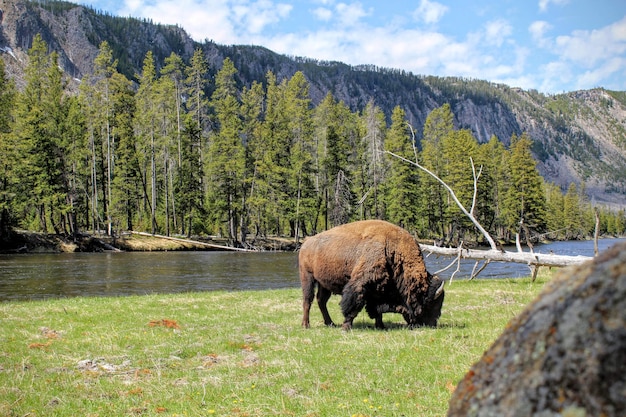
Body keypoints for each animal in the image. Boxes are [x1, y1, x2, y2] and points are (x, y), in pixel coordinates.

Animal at [298, 219, 442, 330]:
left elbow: (376, 310)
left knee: (321, 300)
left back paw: (330, 323)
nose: (432, 324)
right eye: (430, 303)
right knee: (308, 300)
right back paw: (306, 325)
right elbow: (352, 306)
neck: (393, 249)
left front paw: (381, 326)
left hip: (324, 283)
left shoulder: (378, 287)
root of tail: (306, 242)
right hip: (307, 277)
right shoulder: (360, 284)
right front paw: (346, 327)